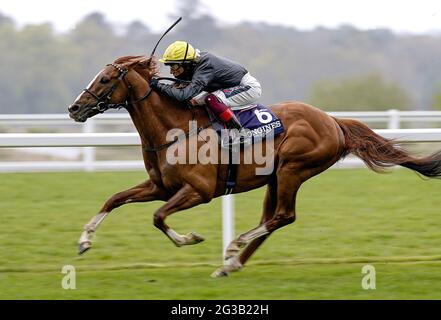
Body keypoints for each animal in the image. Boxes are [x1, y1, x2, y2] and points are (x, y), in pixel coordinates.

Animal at [67, 56, 440, 276]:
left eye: (104, 80)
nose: (74, 108)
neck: (175, 129)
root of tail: (332, 120)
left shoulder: (199, 191)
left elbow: (158, 218)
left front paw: (190, 238)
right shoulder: (160, 187)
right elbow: (114, 199)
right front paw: (85, 240)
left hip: (293, 169)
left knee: (283, 216)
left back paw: (233, 249)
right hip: (274, 177)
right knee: (271, 219)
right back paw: (231, 264)